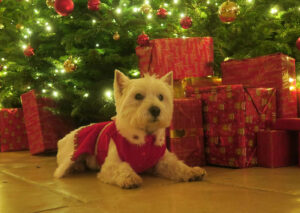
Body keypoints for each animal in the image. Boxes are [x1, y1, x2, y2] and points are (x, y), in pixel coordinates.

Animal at [54, 70, 206, 188]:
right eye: (138, 96)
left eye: (161, 97)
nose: (156, 110)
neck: (146, 137)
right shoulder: (110, 165)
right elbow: (122, 167)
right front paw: (130, 178)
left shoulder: (162, 160)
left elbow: (176, 165)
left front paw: (192, 171)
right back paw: (76, 167)